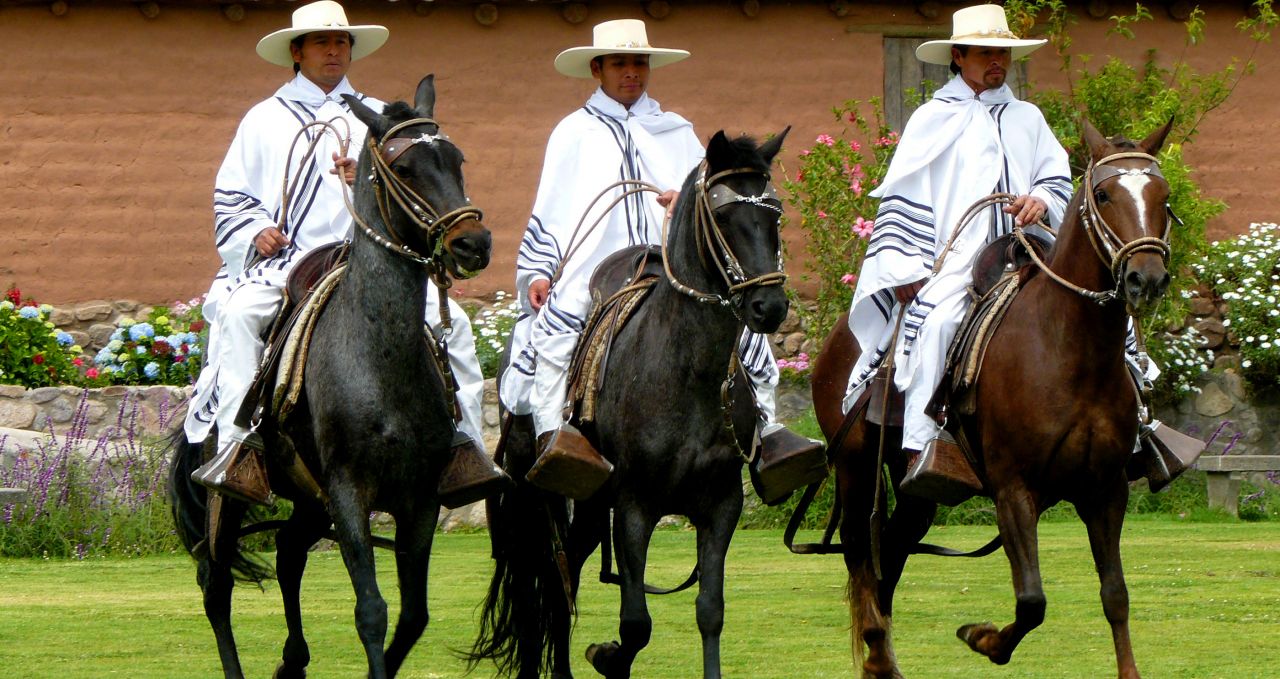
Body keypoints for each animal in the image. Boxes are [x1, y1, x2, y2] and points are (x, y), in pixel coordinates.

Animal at [170, 73, 488, 676]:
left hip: (309, 501)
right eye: (405, 168)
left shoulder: (420, 500)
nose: (473, 243)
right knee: (214, 584)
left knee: (289, 554)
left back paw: (292, 660)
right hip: (233, 498)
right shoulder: (348, 491)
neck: (378, 363)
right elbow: (372, 611)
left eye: (458, 159)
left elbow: (413, 616)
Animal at [471, 128, 788, 676]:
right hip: (544, 500)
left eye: (775, 212)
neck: (684, 372)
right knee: (544, 588)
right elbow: (636, 623)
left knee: (563, 582)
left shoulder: (721, 503)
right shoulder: (634, 505)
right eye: (724, 215)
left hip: (590, 505)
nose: (770, 306)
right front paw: (608, 655)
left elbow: (710, 610)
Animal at [814, 121, 1172, 676]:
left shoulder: (1105, 490)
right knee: (860, 553)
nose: (1146, 278)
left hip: (916, 490)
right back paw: (876, 649)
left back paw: (884, 659)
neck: (1070, 349)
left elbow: (1115, 595)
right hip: (855, 469)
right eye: (1104, 195)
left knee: (890, 553)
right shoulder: (1013, 490)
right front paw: (983, 639)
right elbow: (1032, 602)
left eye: (1163, 196)